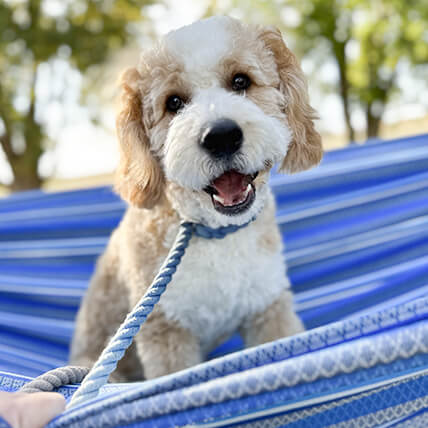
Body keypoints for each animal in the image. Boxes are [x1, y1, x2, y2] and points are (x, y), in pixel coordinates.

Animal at [69, 15, 320, 382]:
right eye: (173, 103)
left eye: (241, 80)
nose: (221, 136)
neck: (216, 235)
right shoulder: (166, 332)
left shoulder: (268, 307)